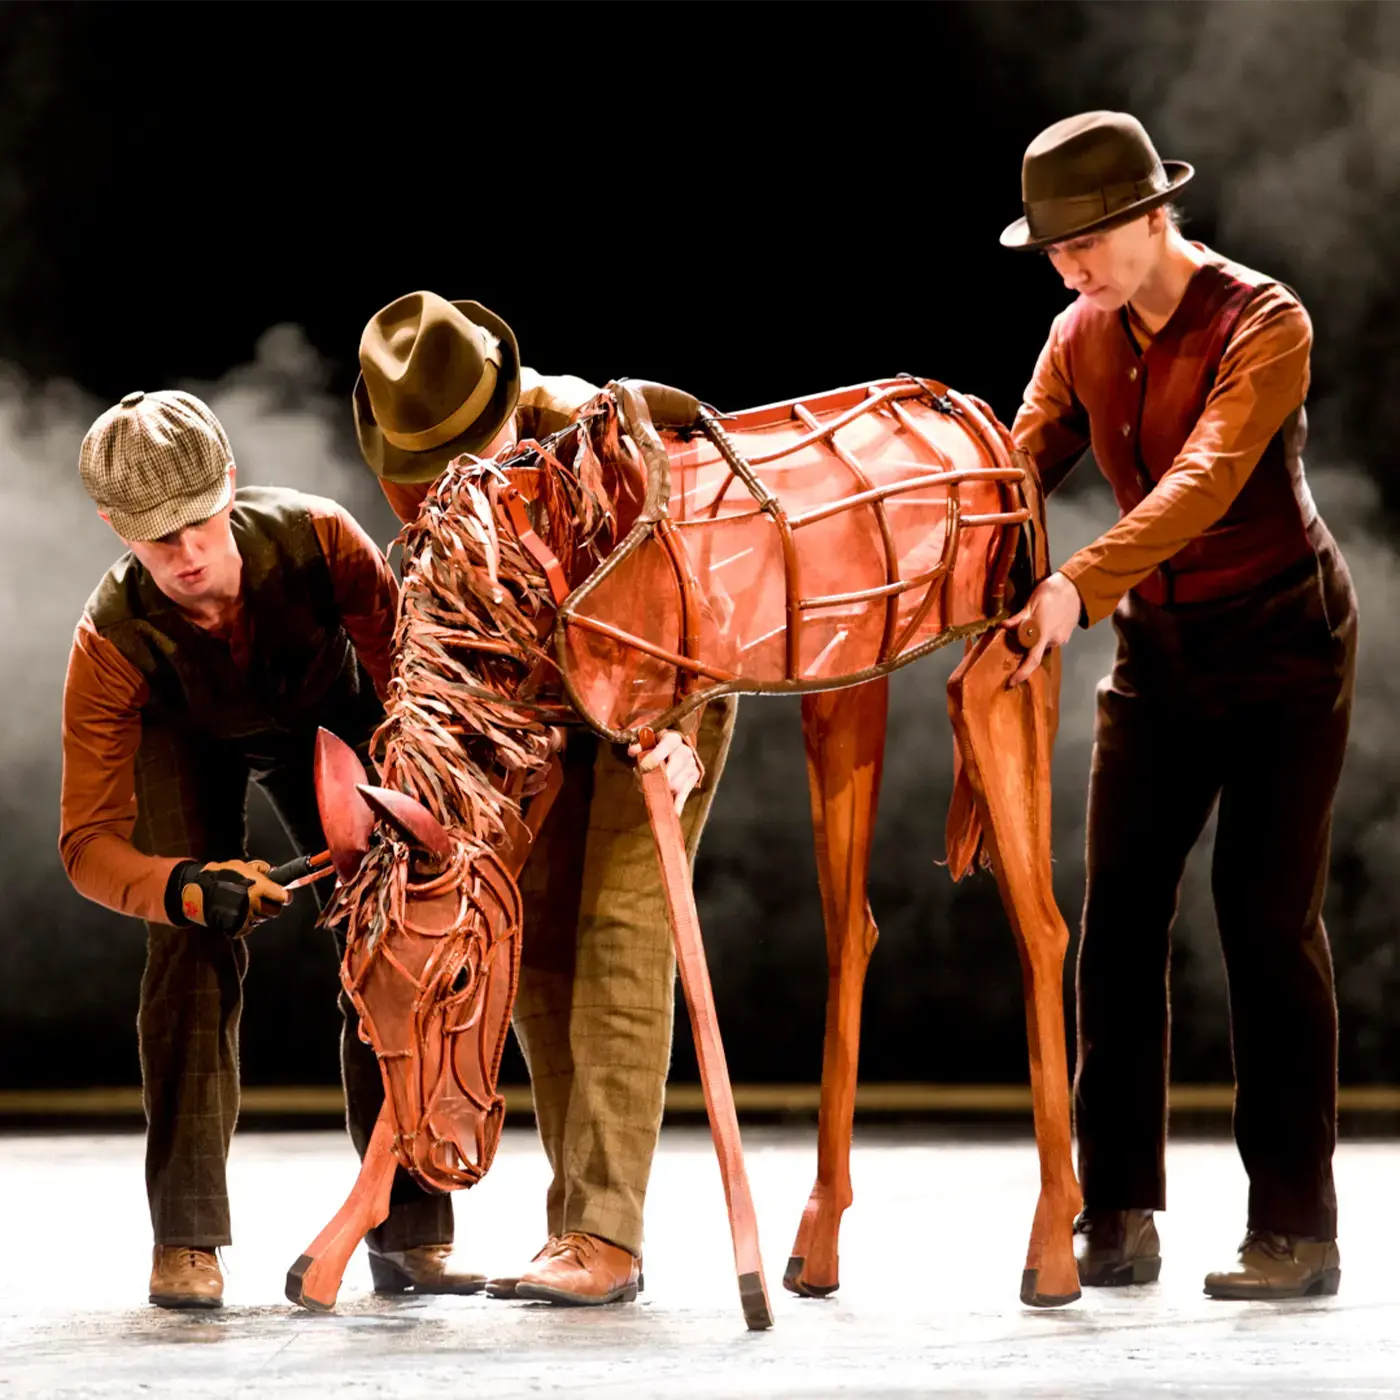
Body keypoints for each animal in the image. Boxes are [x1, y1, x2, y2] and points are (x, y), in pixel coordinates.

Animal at [283, 377, 1081, 1330]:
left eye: (461, 980)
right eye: (358, 998)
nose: (446, 1153)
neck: (537, 550)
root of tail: (973, 412)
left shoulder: (636, 731)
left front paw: (746, 1294)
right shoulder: (524, 763)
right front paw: (320, 1260)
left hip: (1007, 661)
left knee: (1041, 929)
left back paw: (1051, 1252)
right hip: (845, 690)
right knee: (852, 936)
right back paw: (816, 1250)